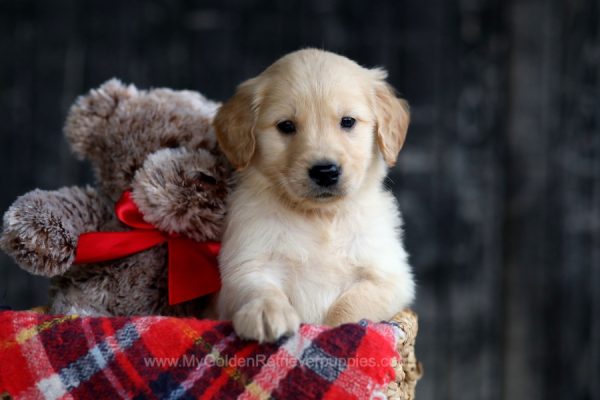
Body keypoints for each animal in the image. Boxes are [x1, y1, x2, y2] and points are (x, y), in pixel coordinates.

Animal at [213, 48, 414, 342]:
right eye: (286, 126)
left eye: (348, 122)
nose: (325, 171)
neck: (321, 216)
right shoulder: (245, 264)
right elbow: (258, 287)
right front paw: (266, 311)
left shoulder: (389, 276)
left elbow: (351, 306)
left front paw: (334, 331)